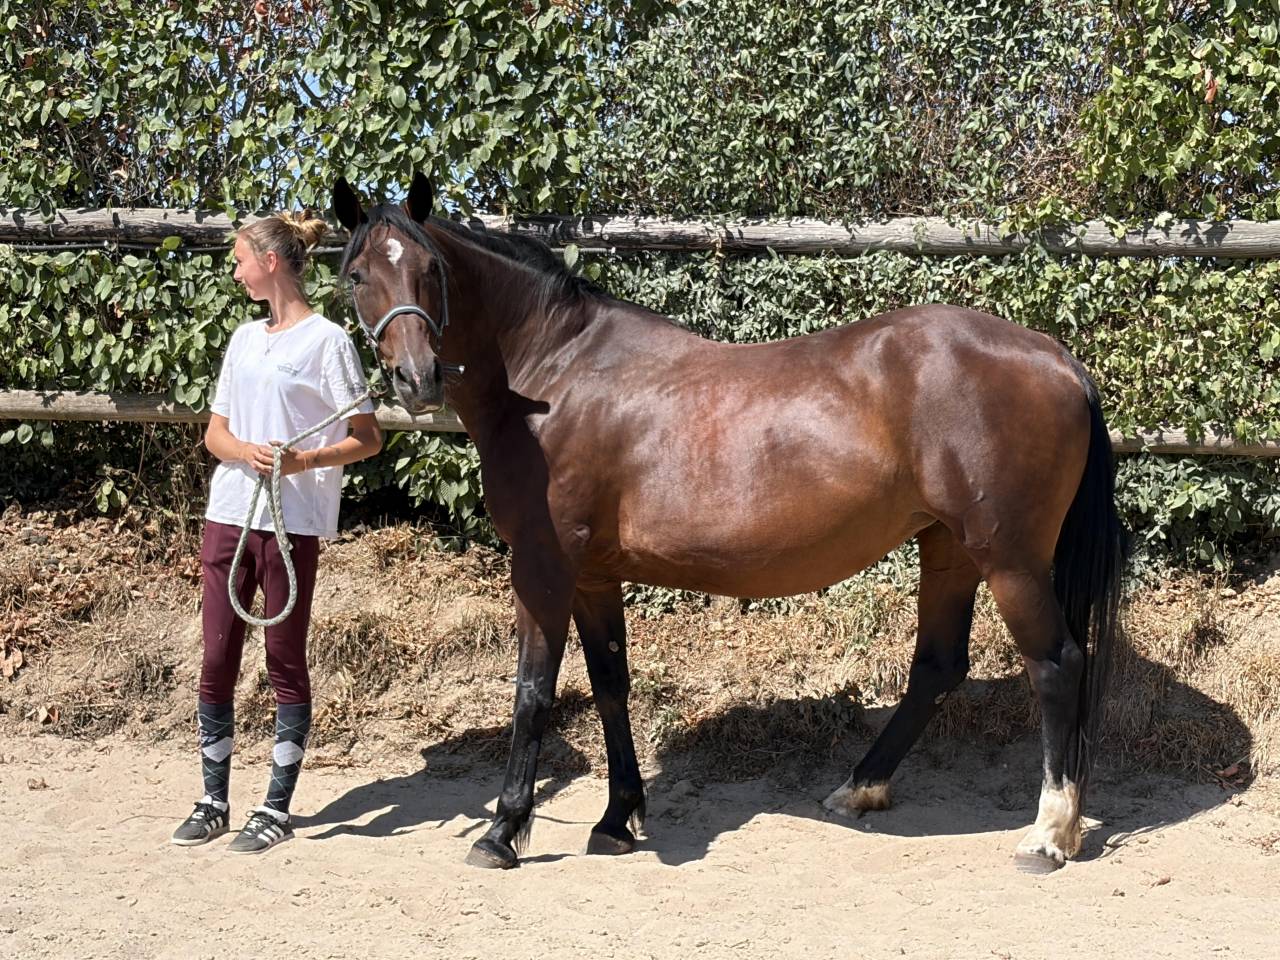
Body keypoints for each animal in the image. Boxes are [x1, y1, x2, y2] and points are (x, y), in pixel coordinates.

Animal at [332, 172, 1125, 873]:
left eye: (431, 269)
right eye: (358, 275)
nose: (416, 379)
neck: (554, 378)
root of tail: (1056, 357)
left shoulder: (541, 566)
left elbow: (532, 692)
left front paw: (502, 832)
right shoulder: (592, 576)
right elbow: (611, 683)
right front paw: (617, 820)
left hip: (1009, 557)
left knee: (1058, 664)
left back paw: (1048, 835)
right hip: (949, 547)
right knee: (937, 666)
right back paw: (858, 789)